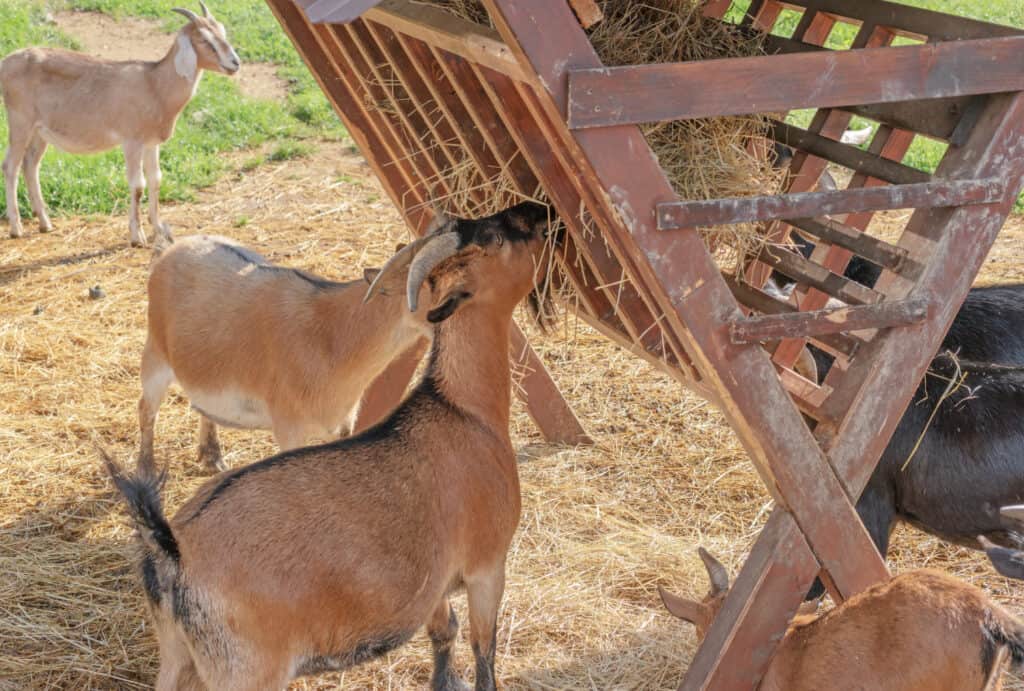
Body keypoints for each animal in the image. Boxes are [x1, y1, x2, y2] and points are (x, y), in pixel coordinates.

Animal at [1, 2, 239, 245]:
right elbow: (138, 185)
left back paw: (45, 223)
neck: (154, 84)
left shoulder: (151, 143)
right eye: (203, 39)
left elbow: (156, 179)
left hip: (39, 131)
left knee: (30, 165)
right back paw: (16, 227)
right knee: (10, 166)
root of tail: (6, 62)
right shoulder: (132, 142)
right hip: (20, 122)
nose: (235, 63)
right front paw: (137, 237)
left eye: (222, 31)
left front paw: (158, 229)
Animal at [101, 202, 561, 691]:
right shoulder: (487, 565)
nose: (541, 211)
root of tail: (172, 552)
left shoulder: (434, 580)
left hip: (178, 656)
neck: (464, 409)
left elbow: (444, 631)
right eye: (496, 239)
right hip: (247, 671)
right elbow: (484, 652)